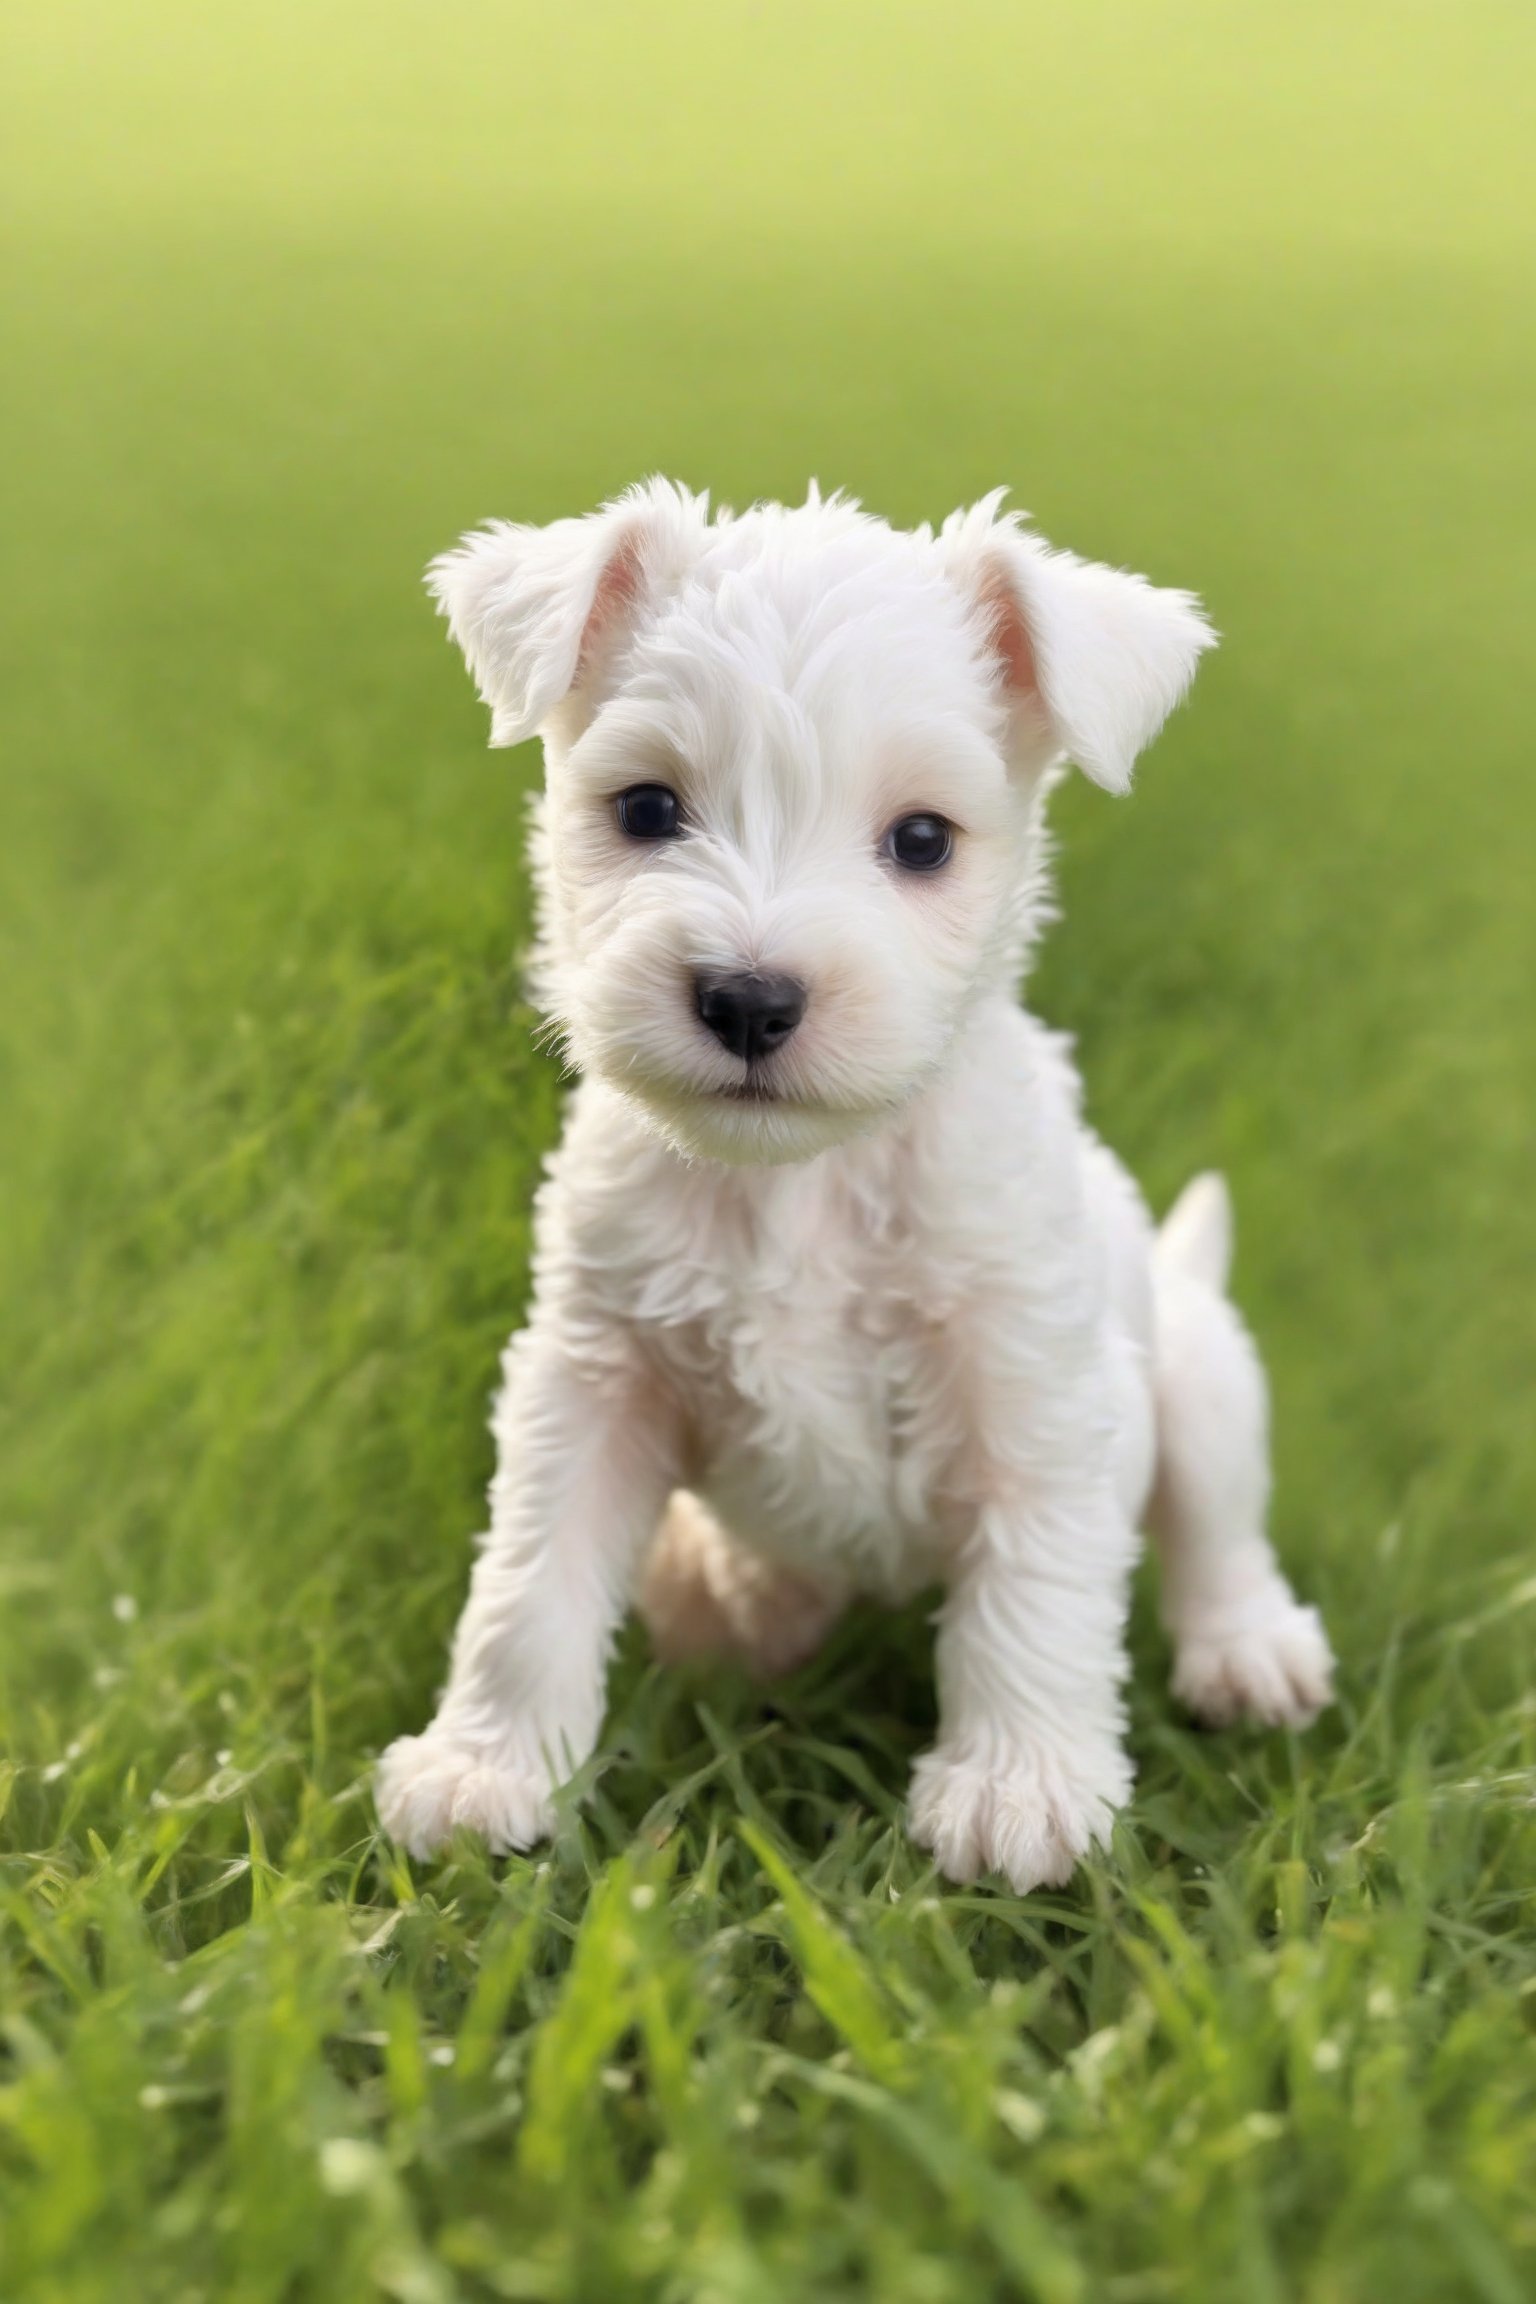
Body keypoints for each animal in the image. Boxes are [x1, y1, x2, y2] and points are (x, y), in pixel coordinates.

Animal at [375, 472, 1335, 1889]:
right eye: (647, 809)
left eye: (923, 838)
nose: (749, 1000)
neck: (800, 1185)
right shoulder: (591, 1379)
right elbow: (530, 1585)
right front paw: (481, 1768)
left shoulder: (1030, 1391)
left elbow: (1032, 1595)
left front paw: (1020, 1791)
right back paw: (735, 1595)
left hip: (1205, 1379)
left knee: (1220, 1537)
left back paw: (1250, 1654)